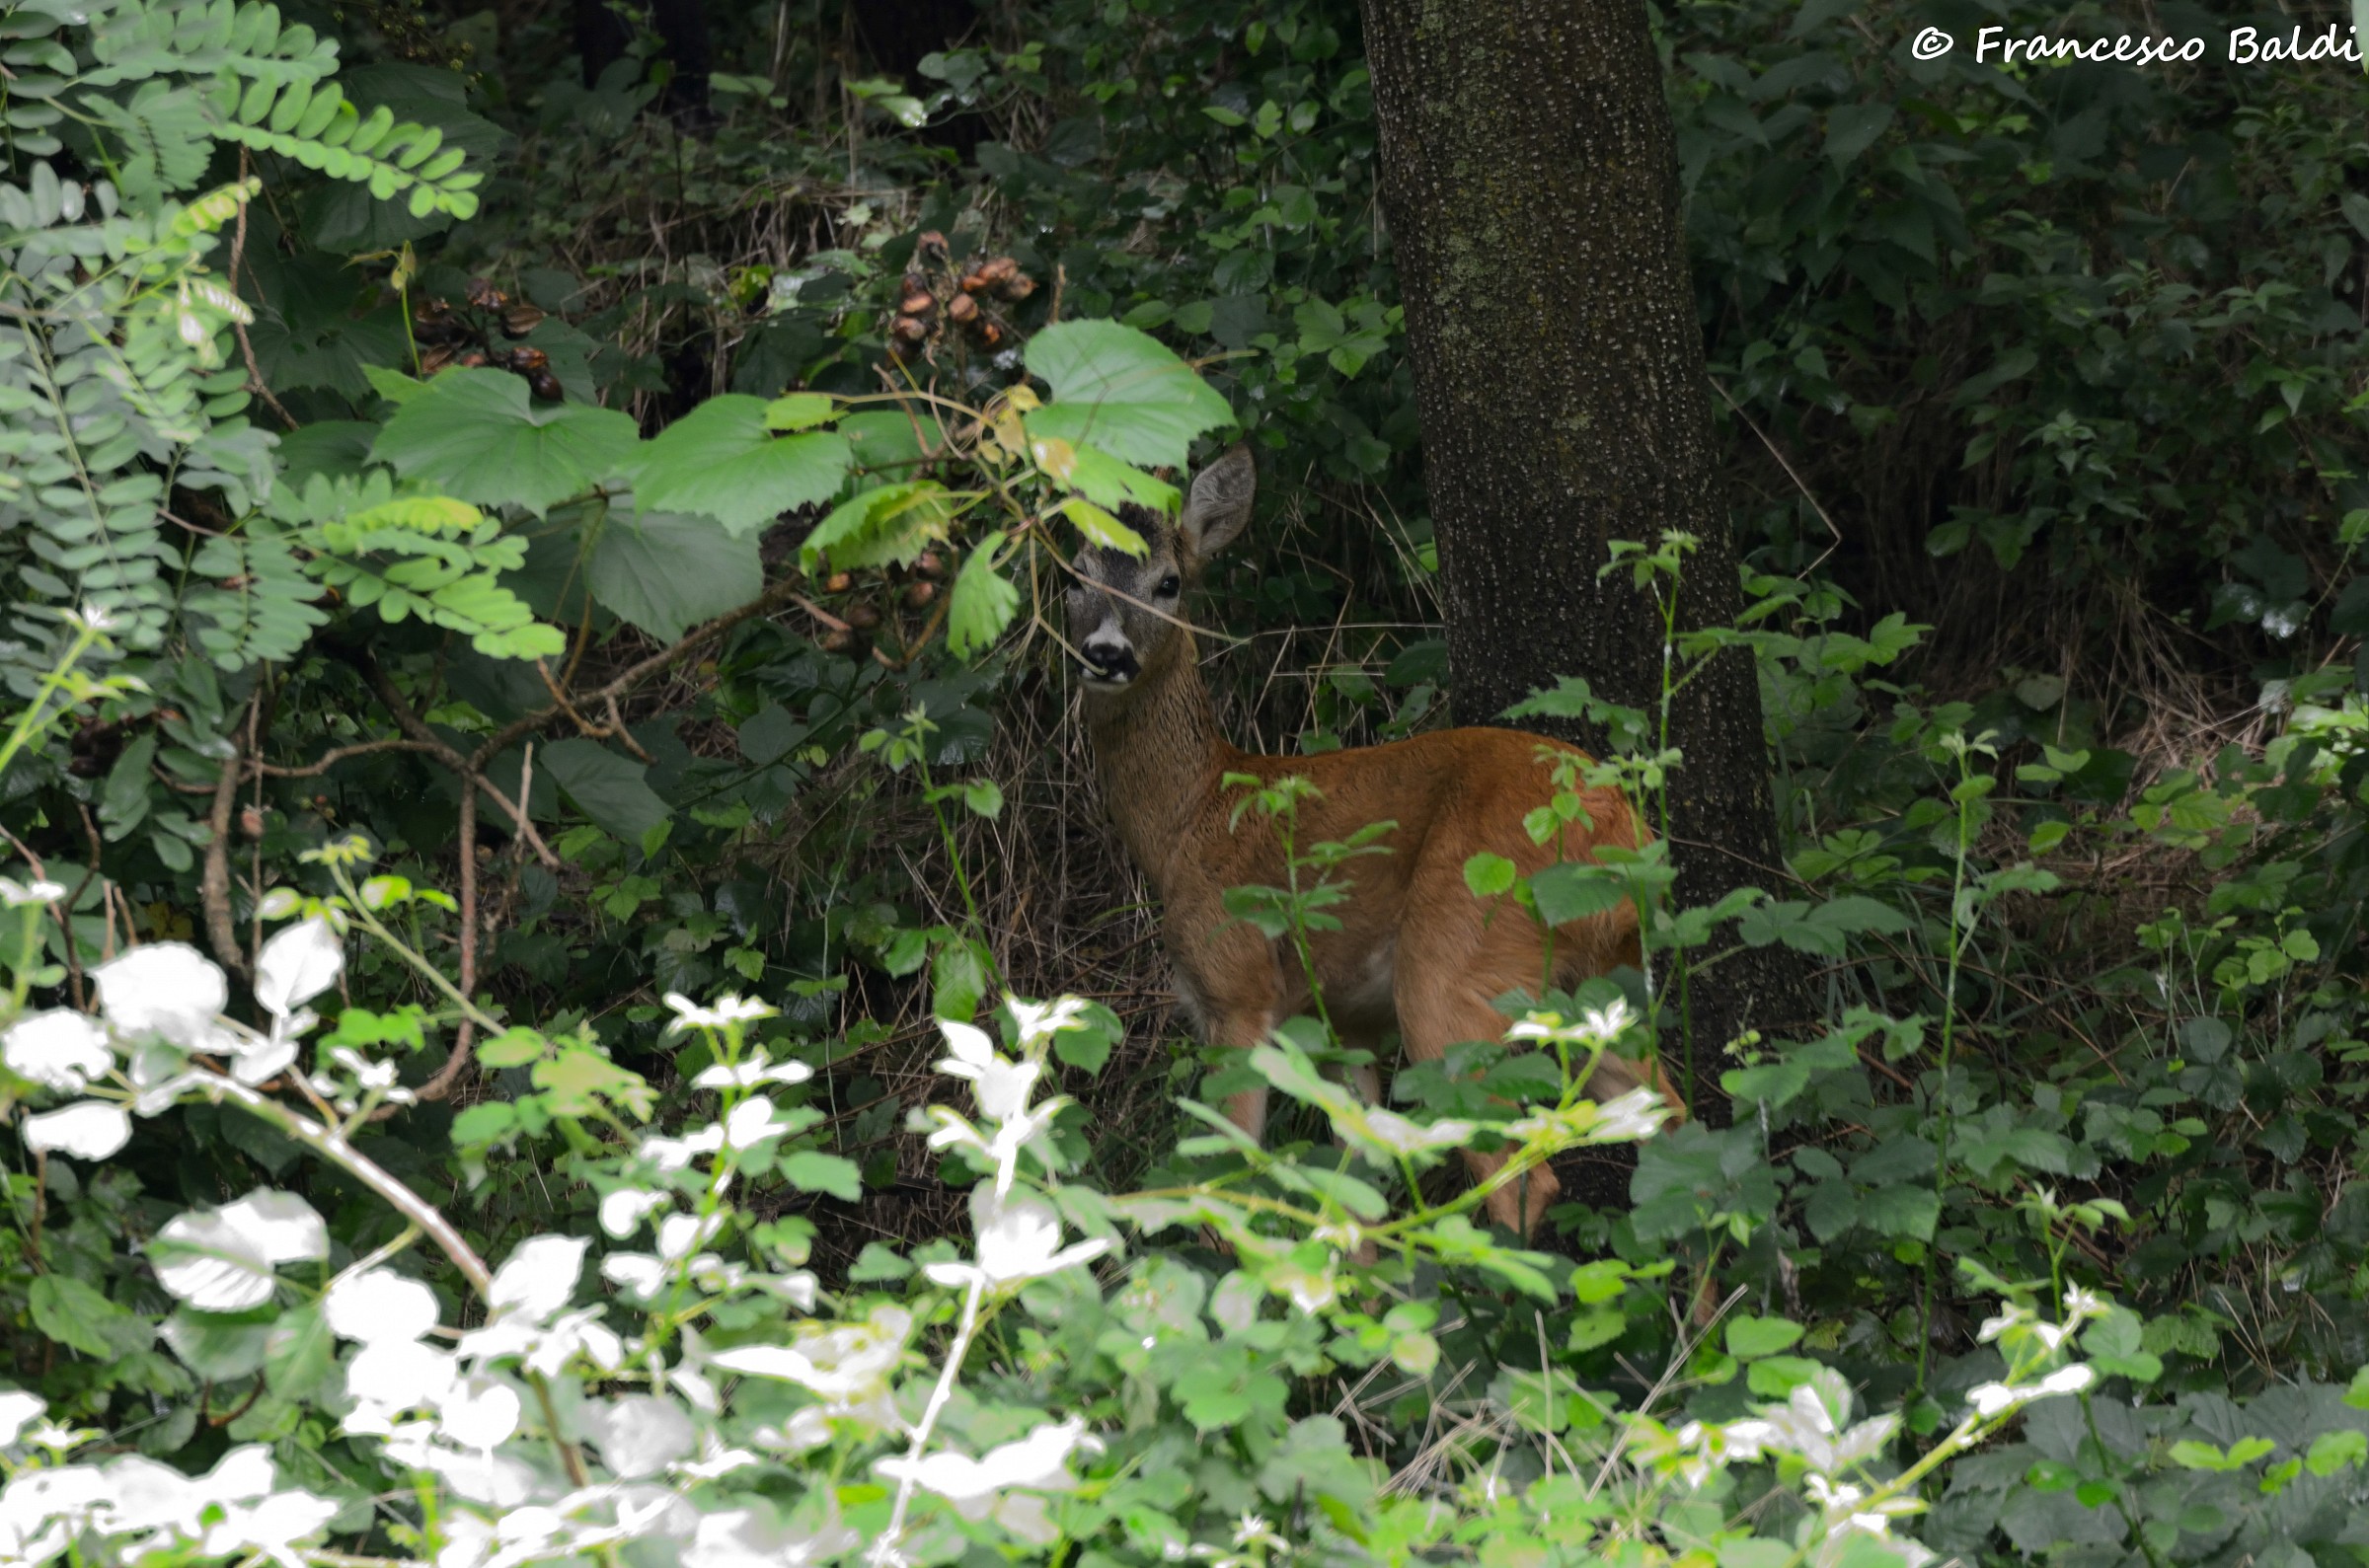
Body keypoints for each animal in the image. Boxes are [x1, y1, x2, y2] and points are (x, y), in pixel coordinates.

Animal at [1063, 444, 1687, 1237]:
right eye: (1074, 572)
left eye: (1168, 582)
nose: (1105, 652)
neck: (1192, 816)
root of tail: (1616, 827)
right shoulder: (1341, 1025)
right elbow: (1357, 1195)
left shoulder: (1236, 988)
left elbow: (1228, 1187)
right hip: (1598, 985)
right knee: (1677, 1123)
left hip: (1455, 962)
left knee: (1525, 1177)